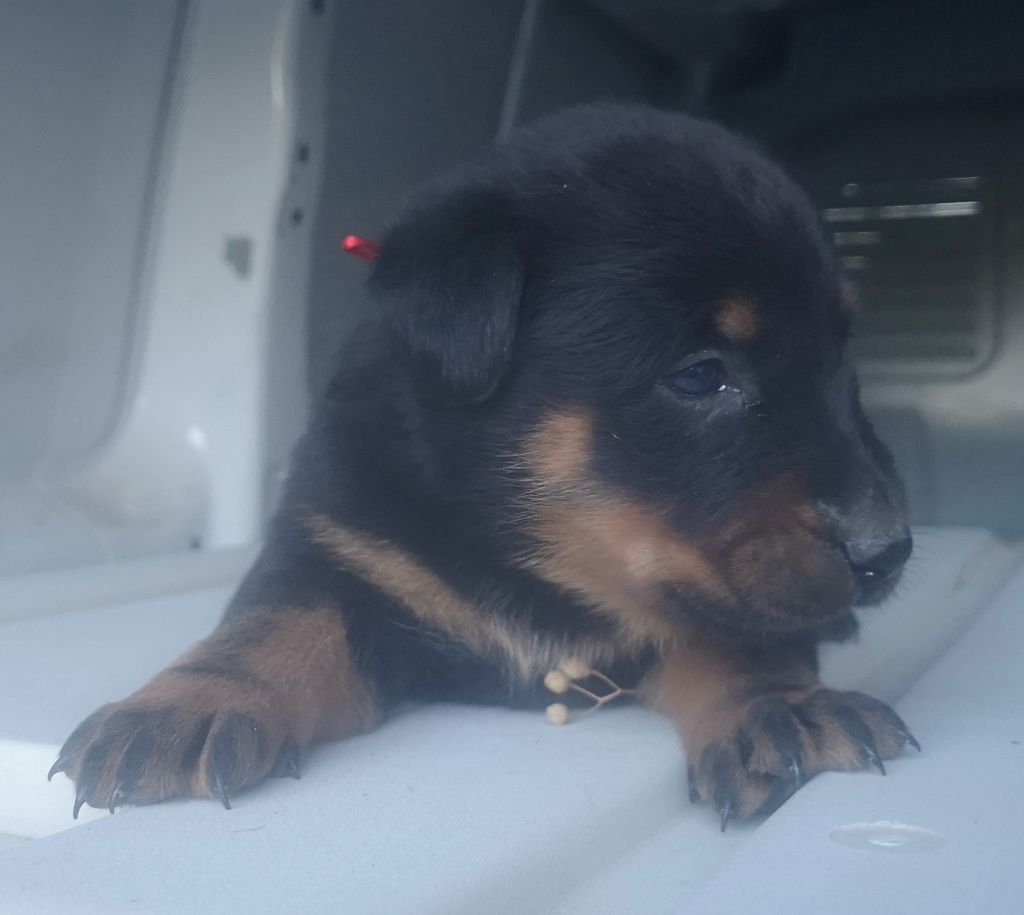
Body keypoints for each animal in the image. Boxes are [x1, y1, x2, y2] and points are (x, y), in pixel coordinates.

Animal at [51, 103, 917, 828]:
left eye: (844, 363)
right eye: (702, 376)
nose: (889, 552)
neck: (541, 558)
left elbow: (741, 633)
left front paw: (784, 705)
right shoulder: (337, 540)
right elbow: (275, 618)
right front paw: (185, 704)